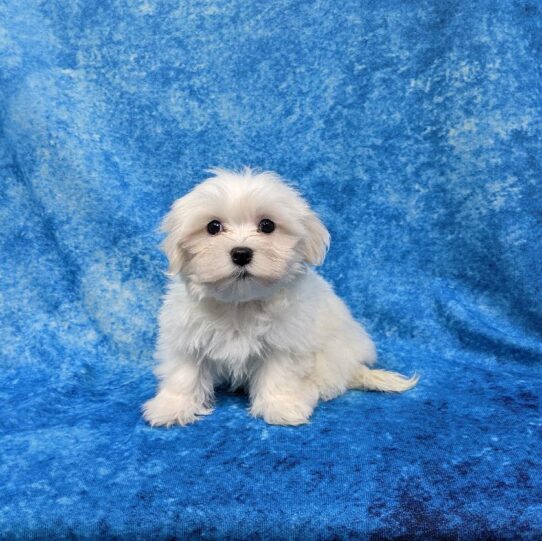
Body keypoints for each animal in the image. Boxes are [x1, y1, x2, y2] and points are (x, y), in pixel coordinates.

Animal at [142, 169, 418, 426]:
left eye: (267, 225)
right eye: (213, 227)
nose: (241, 253)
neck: (240, 303)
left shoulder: (286, 341)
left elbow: (280, 374)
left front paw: (281, 407)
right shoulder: (186, 334)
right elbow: (184, 372)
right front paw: (172, 407)